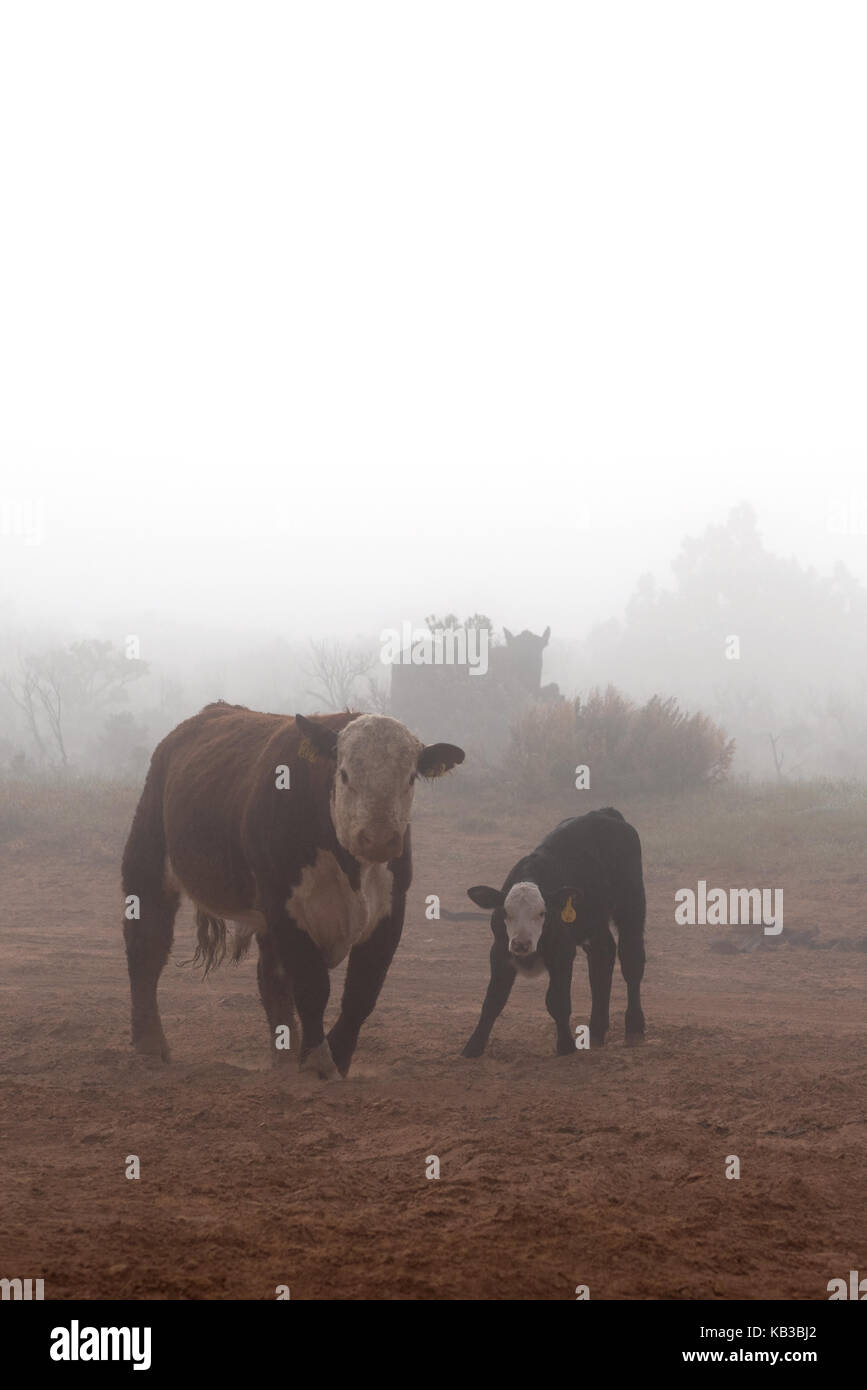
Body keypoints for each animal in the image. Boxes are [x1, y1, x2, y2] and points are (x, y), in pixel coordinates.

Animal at [122, 706, 464, 1073]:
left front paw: (338, 1057)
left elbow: (362, 992)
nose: (378, 839)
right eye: (344, 774)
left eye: (411, 777)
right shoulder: (285, 907)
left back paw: (284, 1058)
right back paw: (149, 1046)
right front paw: (317, 1061)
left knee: (271, 977)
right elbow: (312, 987)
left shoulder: (390, 910)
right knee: (146, 946)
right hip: (147, 859)